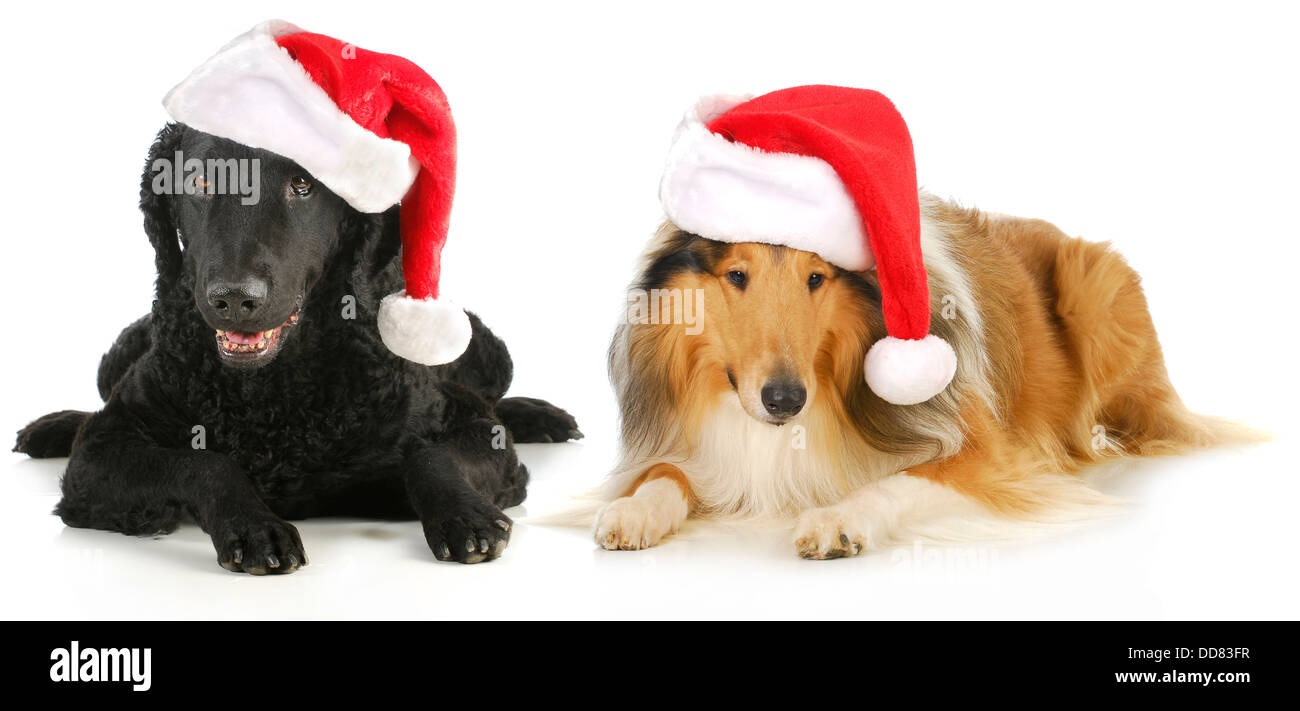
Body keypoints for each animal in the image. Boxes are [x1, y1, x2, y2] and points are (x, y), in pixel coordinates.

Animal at [15, 125, 582, 577]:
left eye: (303, 185)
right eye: (199, 182)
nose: (235, 297)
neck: (275, 397)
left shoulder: (467, 420)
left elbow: (433, 453)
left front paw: (464, 516)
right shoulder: (101, 452)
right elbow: (200, 462)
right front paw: (254, 526)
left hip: (486, 349)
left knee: (497, 398)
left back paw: (543, 416)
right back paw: (50, 427)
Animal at [595, 193, 1242, 556]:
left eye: (816, 278)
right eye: (736, 275)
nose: (784, 400)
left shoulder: (985, 454)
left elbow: (897, 481)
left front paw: (838, 518)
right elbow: (665, 474)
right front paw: (633, 510)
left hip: (1096, 288)